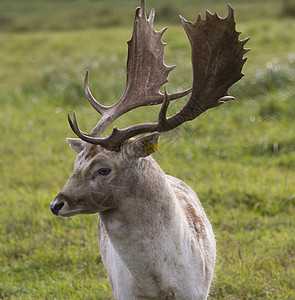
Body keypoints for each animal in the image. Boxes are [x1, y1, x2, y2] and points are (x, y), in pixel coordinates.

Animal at [49, 1, 249, 298]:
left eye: (103, 169)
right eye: (76, 164)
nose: (56, 204)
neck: (158, 284)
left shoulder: (197, 290)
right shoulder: (122, 291)